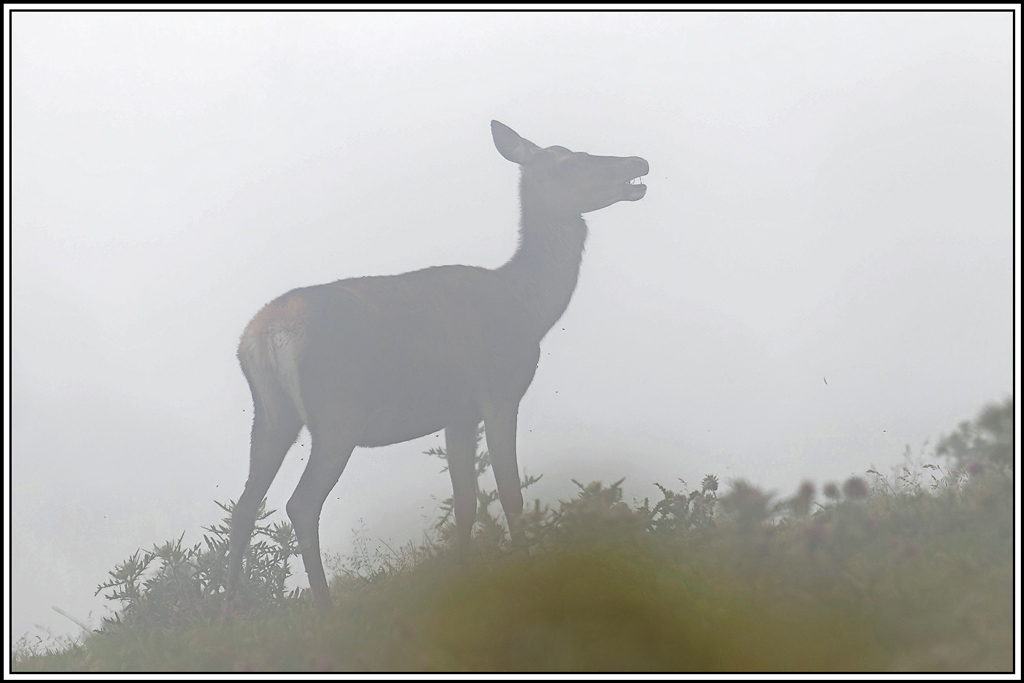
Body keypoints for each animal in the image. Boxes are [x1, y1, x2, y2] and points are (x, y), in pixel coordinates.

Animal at [226, 121, 648, 609]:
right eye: (569, 160)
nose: (640, 161)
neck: (529, 307)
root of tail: (264, 335)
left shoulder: (459, 414)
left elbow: (465, 501)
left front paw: (464, 579)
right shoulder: (499, 391)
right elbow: (510, 493)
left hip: (271, 415)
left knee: (245, 506)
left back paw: (228, 605)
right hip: (336, 416)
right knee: (301, 503)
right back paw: (325, 608)